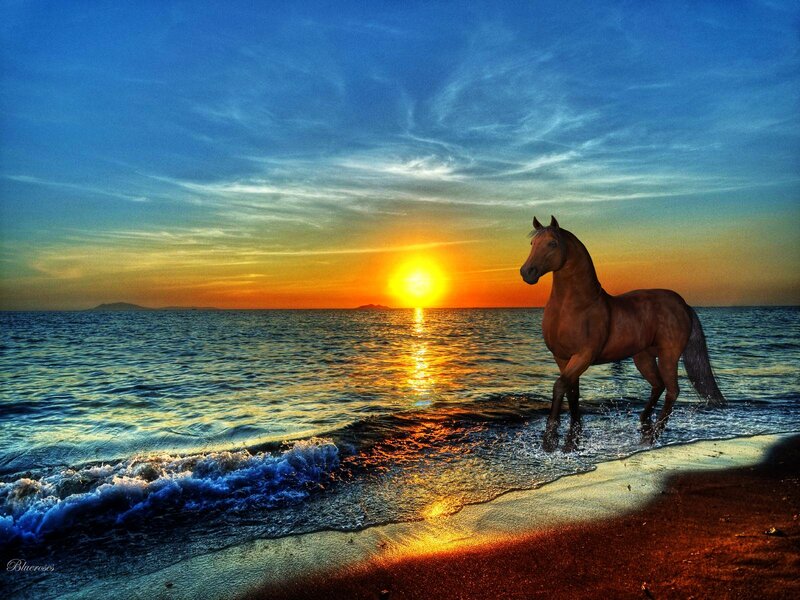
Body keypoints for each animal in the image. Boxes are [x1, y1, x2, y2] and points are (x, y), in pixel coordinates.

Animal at [519, 216, 725, 452]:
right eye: (532, 244)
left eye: (552, 243)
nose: (527, 272)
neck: (574, 307)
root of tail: (683, 304)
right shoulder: (562, 358)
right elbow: (572, 392)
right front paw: (574, 434)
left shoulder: (583, 356)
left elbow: (560, 386)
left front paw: (550, 440)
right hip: (643, 357)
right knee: (658, 385)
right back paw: (643, 420)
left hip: (669, 356)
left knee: (672, 390)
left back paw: (655, 433)